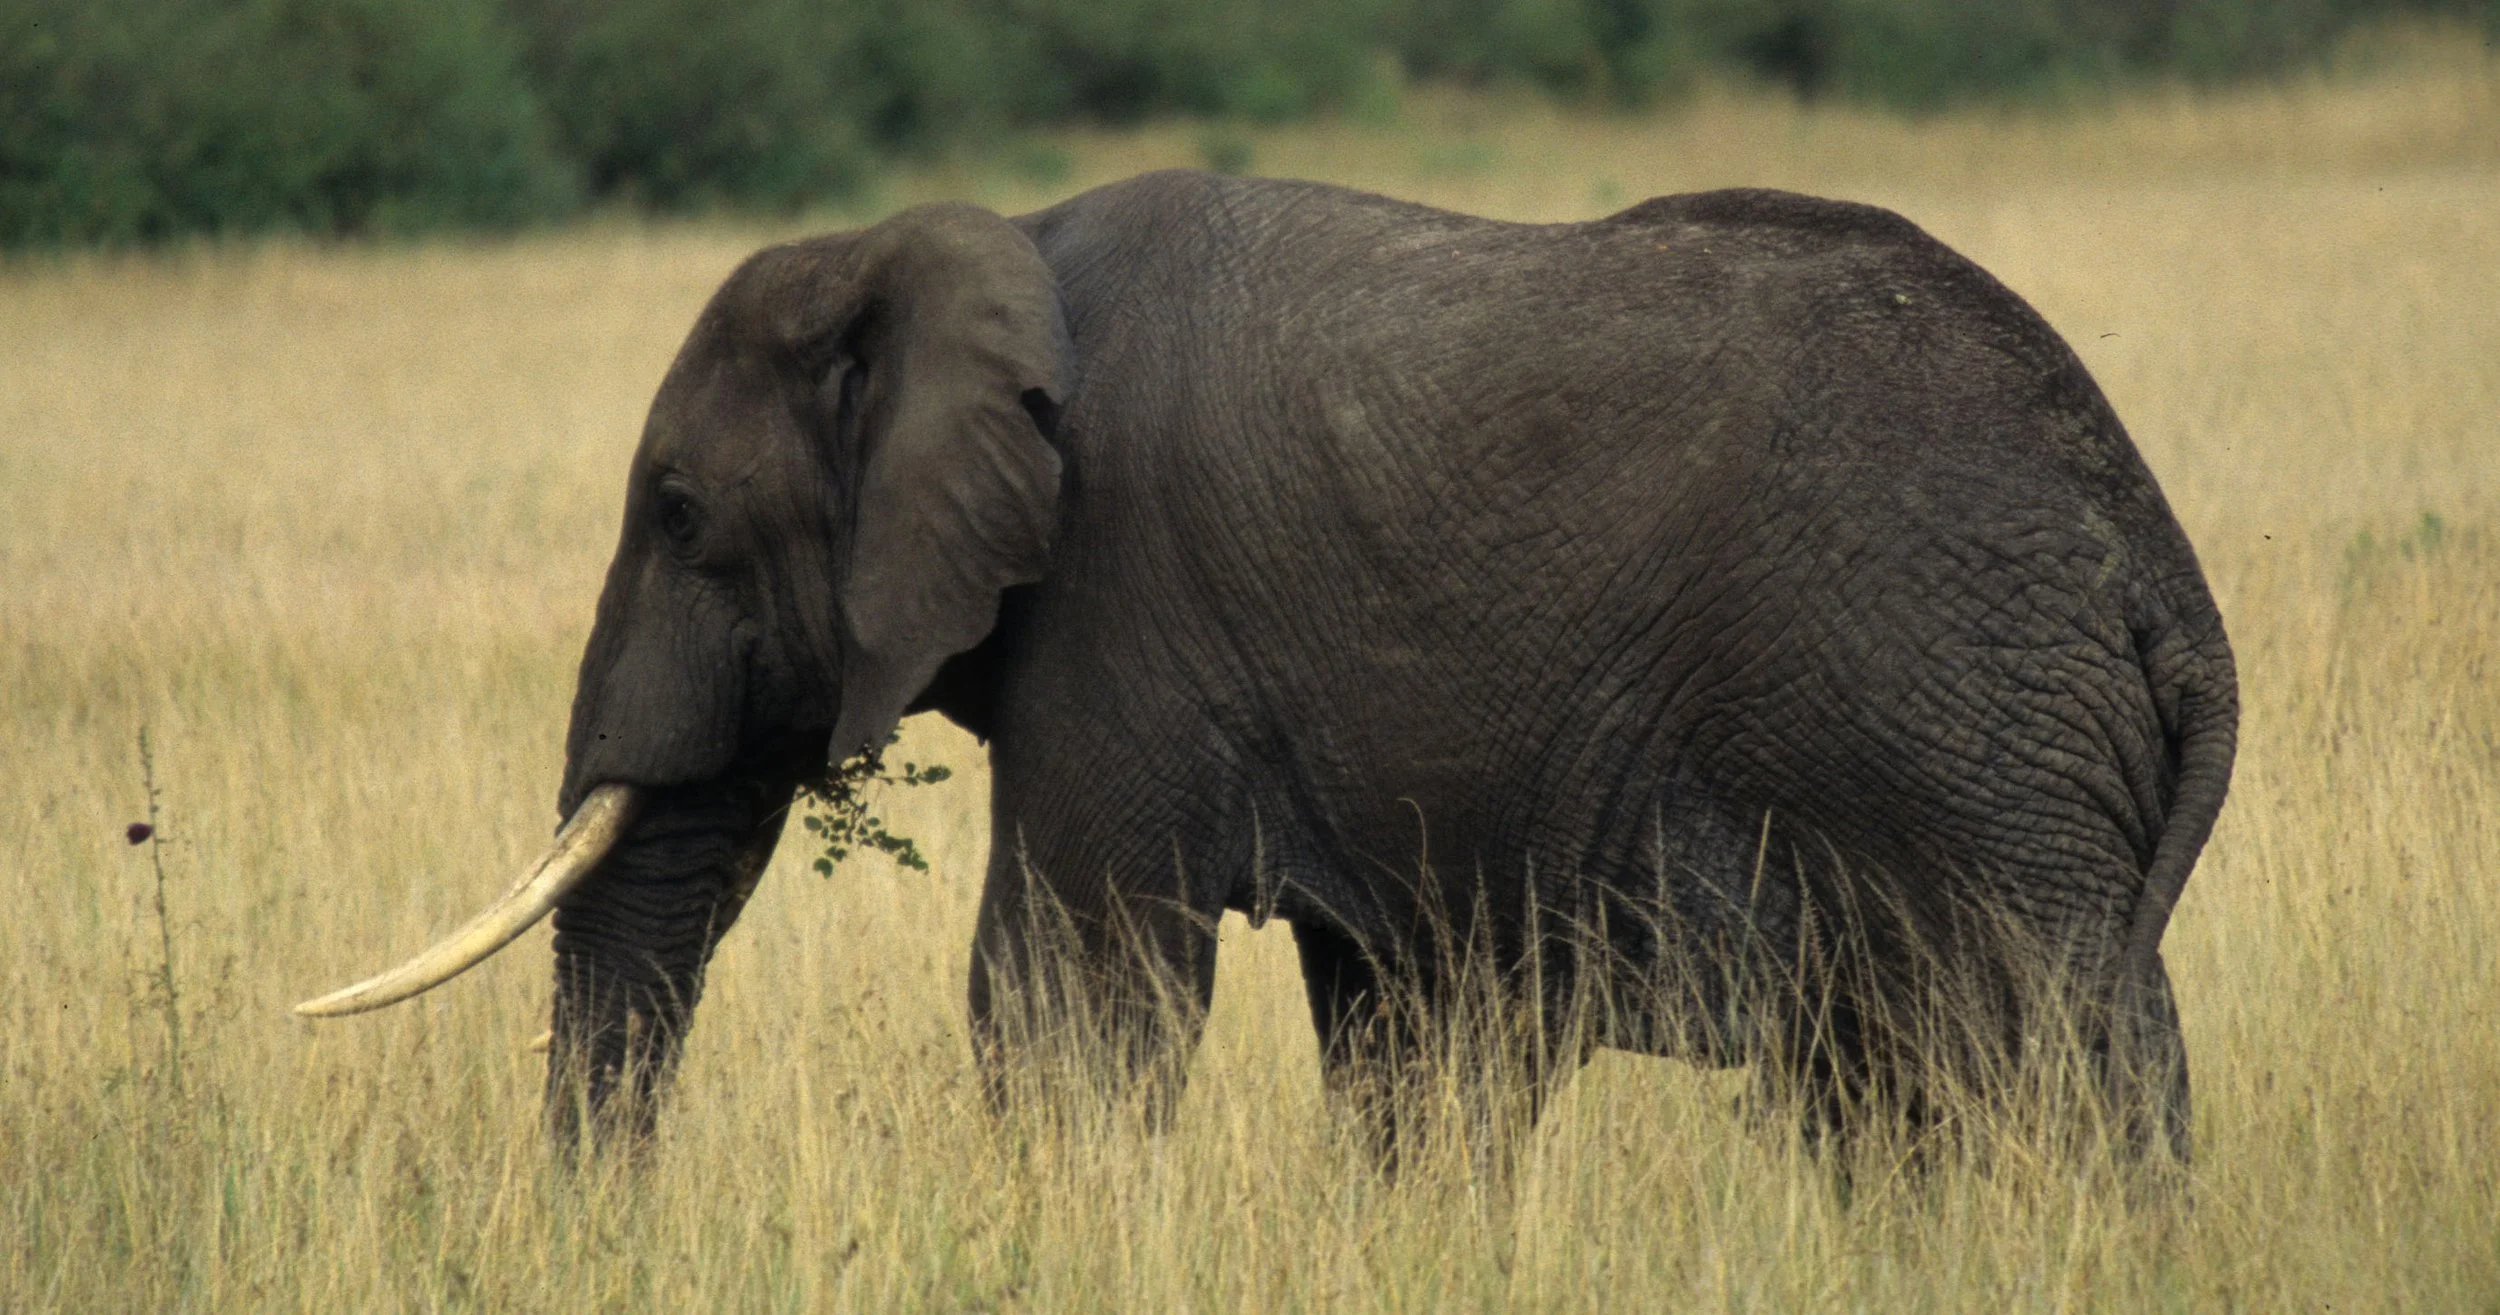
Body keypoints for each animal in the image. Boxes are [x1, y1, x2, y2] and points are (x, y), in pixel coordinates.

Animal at [299, 169, 2236, 1164]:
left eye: (683, 514)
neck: (981, 247)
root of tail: (2161, 569)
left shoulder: (1126, 604)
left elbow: (1063, 998)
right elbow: (1396, 1030)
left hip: (1951, 748)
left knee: (2029, 1063)